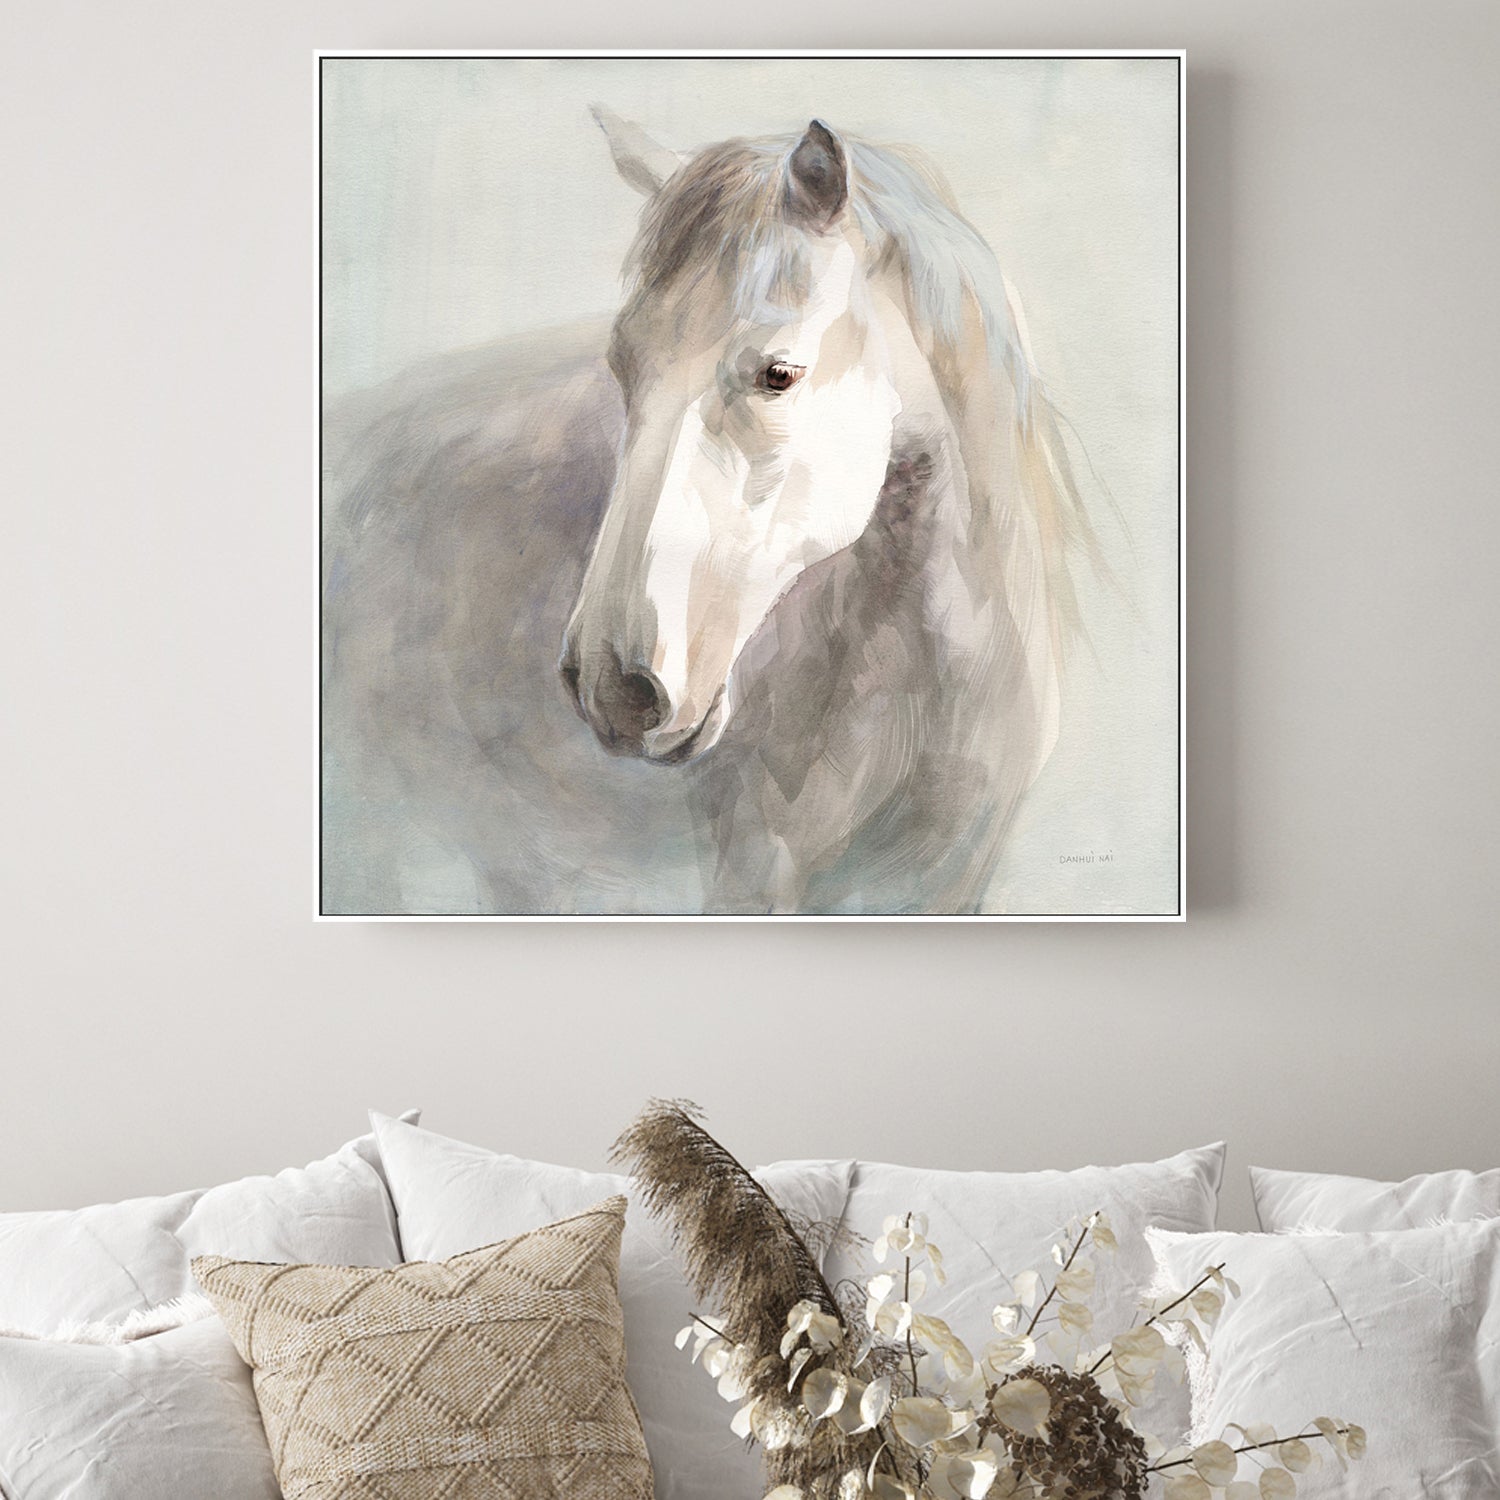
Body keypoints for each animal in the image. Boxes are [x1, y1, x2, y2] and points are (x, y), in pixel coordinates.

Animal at [320, 112, 1092, 915]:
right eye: (623, 366)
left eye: (778, 374)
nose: (613, 688)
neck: (918, 688)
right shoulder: (757, 864)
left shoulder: (958, 873)